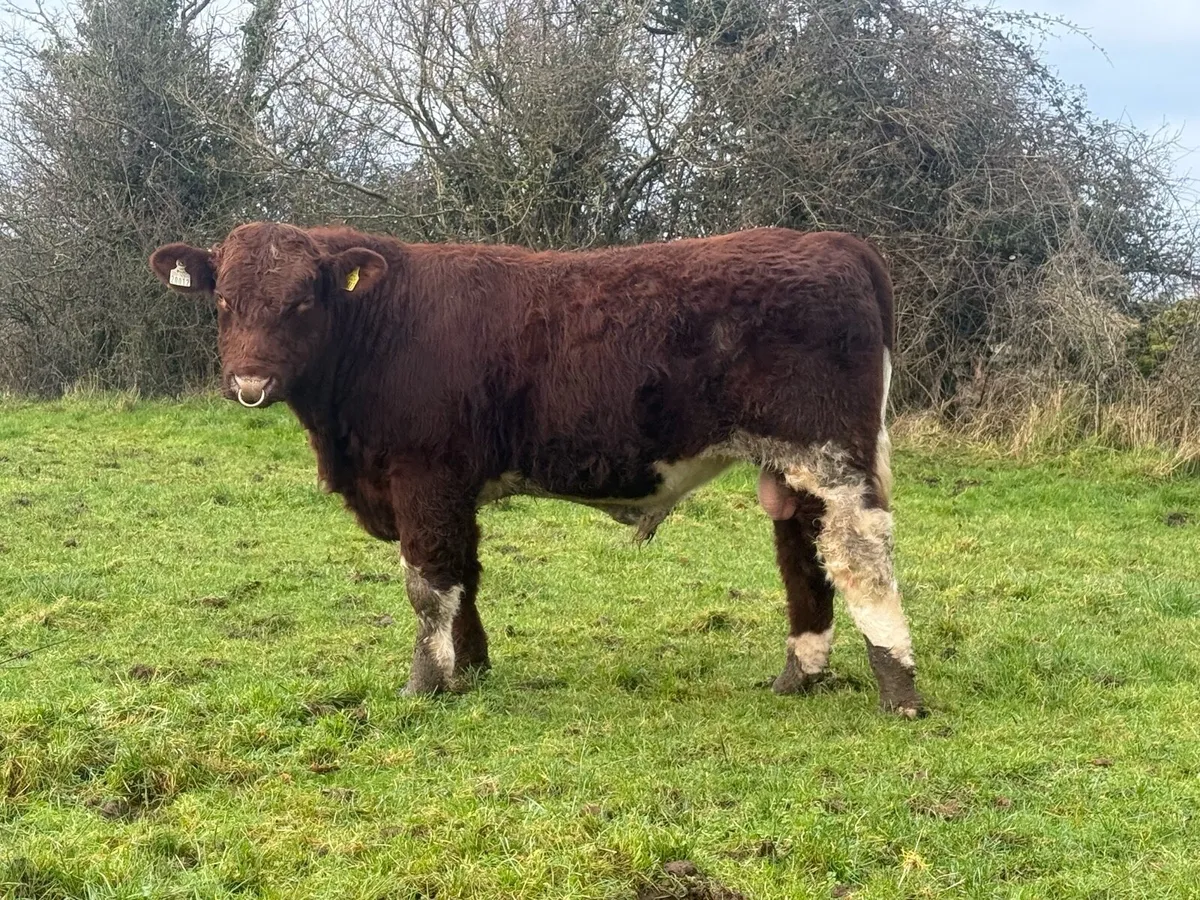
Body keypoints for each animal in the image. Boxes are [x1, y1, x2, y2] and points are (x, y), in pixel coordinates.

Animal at [150, 223, 923, 717]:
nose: (248, 383)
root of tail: (835, 242)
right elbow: (463, 575)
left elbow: (428, 584)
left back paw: (899, 691)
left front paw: (423, 686)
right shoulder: (453, 486)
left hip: (829, 454)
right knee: (803, 554)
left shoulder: (423, 475)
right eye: (224, 303)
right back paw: (798, 679)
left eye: (301, 301)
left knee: (861, 555)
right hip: (791, 466)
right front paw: (472, 667)